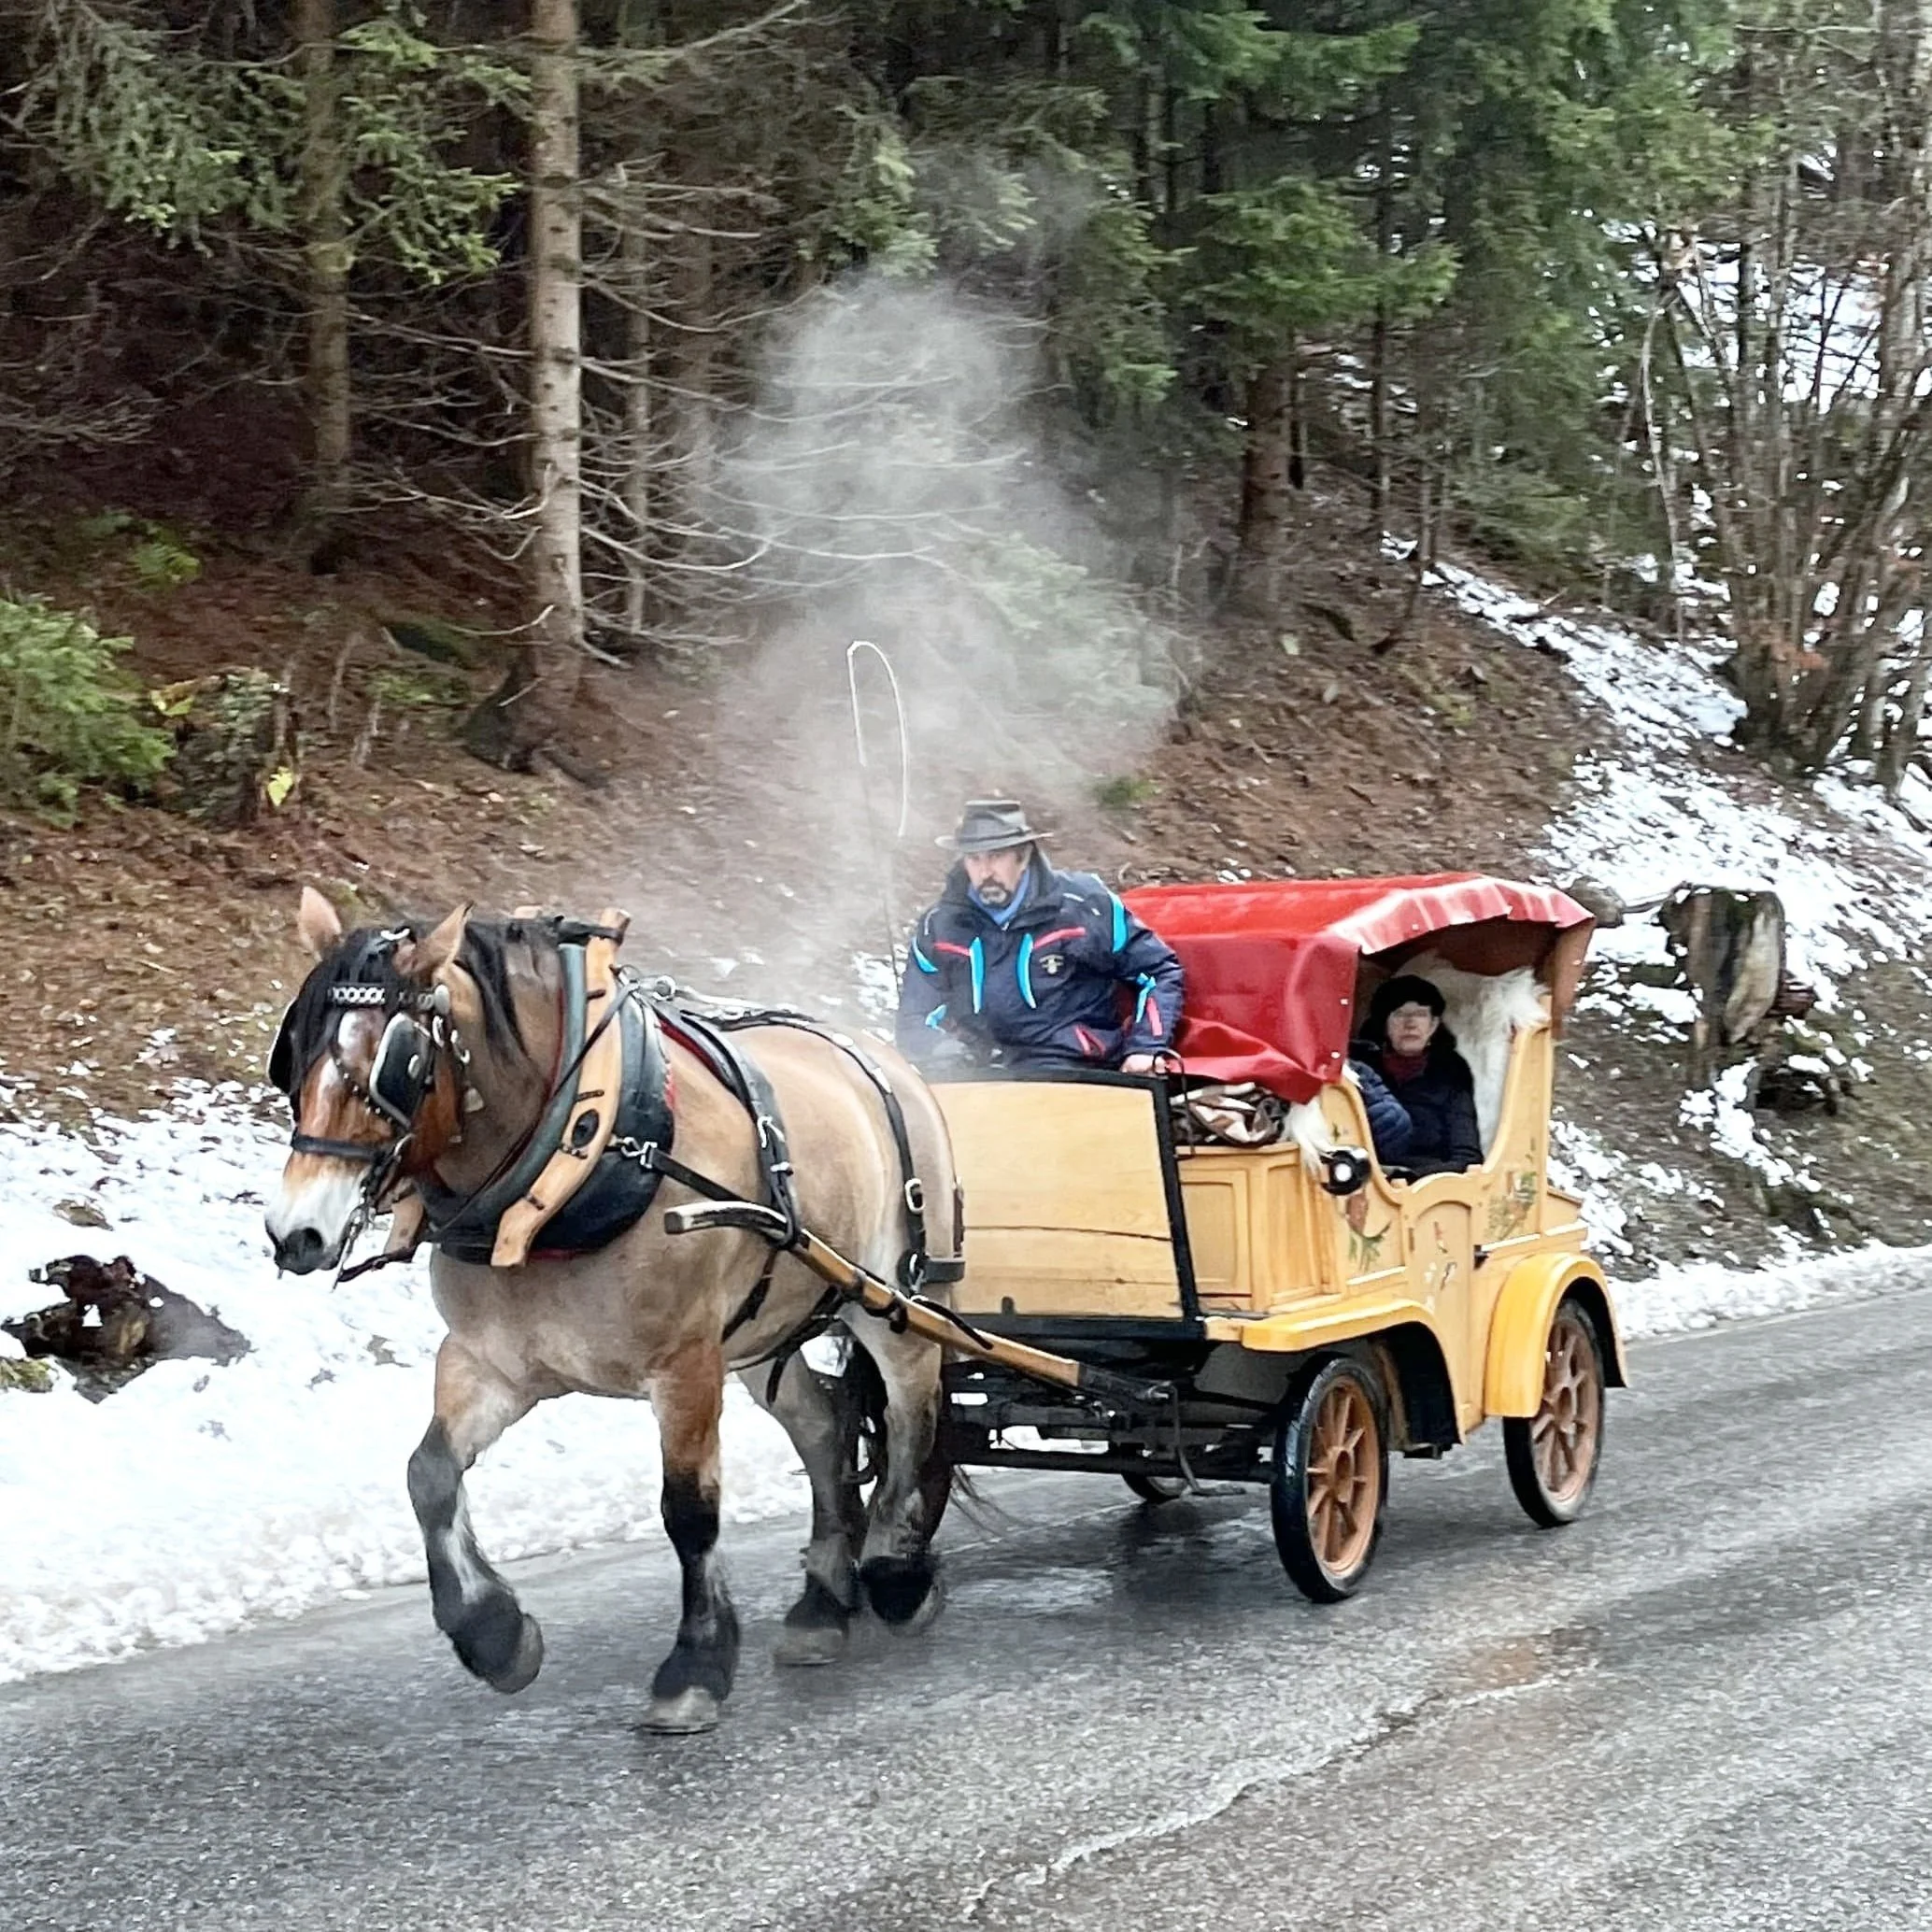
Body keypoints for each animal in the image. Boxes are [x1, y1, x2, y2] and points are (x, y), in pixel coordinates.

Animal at [262, 887, 959, 1733]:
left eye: (395, 1063)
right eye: (292, 1055)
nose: (295, 1232)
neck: (579, 1151)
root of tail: (891, 1062)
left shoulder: (686, 1365)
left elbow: (689, 1513)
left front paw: (693, 1667)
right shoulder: (491, 1363)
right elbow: (428, 1475)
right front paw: (494, 1635)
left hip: (895, 1297)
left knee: (912, 1414)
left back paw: (895, 1570)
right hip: (763, 1333)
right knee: (824, 1427)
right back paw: (822, 1605)